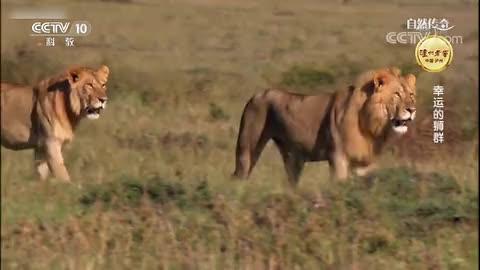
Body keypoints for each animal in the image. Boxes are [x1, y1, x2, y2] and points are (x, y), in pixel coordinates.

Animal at [232, 67, 416, 186]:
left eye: (411, 95)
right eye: (397, 94)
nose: (412, 110)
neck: (370, 125)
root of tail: (255, 95)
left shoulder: (365, 162)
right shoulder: (338, 156)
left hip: (293, 159)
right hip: (248, 149)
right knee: (241, 174)